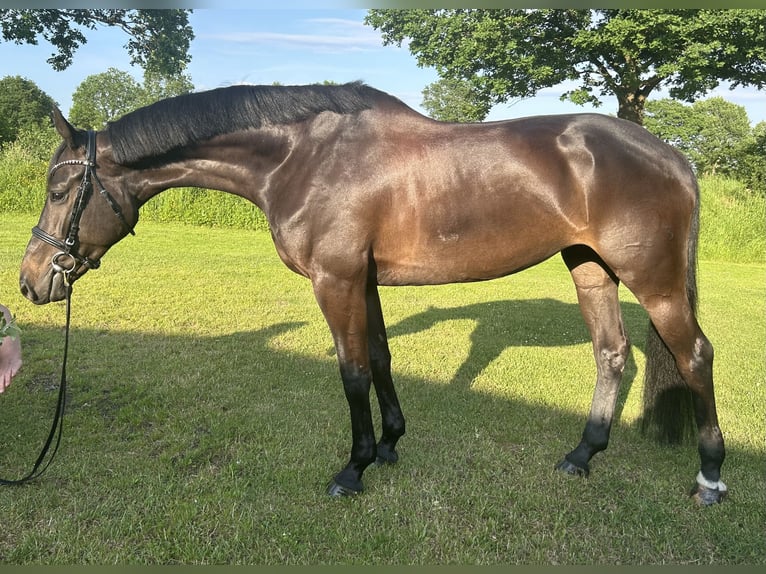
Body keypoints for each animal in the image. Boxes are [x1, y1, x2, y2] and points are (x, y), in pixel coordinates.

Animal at [16, 81, 728, 504]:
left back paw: (710, 477)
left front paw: (352, 468)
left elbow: (352, 371)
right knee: (611, 353)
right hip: (589, 266)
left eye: (59, 190)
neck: (302, 158)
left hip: (654, 281)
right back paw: (581, 456)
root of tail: (673, 154)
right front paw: (389, 445)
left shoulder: (335, 280)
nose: (31, 281)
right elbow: (381, 359)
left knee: (695, 356)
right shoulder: (362, 280)